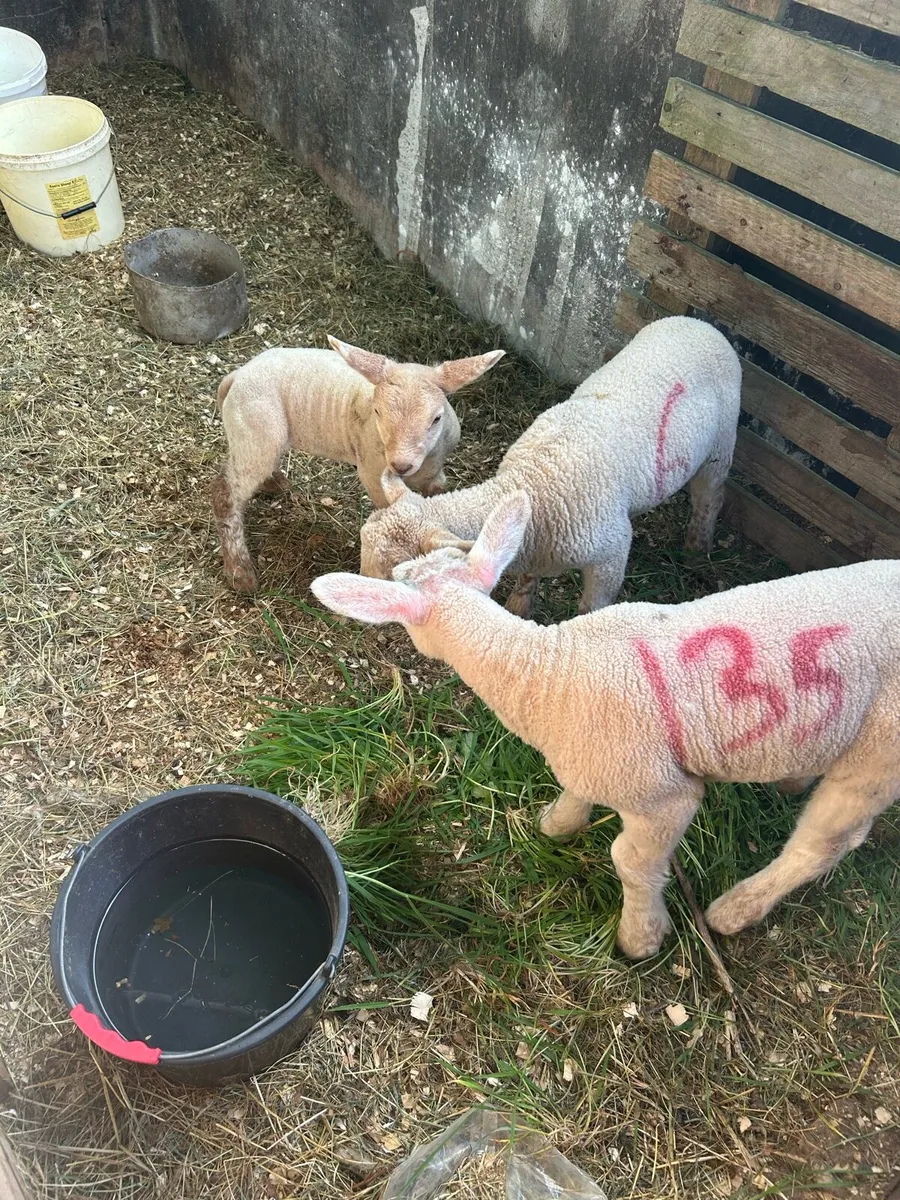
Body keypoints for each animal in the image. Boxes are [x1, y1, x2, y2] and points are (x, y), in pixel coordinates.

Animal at [211, 337, 504, 592]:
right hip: (256, 429)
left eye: (436, 418)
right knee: (225, 494)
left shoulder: (436, 475)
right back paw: (240, 572)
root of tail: (237, 376)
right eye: (377, 412)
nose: (401, 465)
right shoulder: (374, 473)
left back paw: (275, 482)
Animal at [312, 489, 900, 959]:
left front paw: (641, 937)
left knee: (823, 844)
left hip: (881, 749)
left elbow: (631, 861)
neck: (547, 672)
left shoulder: (662, 796)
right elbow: (575, 796)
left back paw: (734, 911)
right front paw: (557, 824)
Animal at [359, 315, 741, 617]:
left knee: (710, 498)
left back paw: (696, 550)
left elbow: (592, 606)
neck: (537, 481)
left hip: (720, 446)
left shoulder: (611, 555)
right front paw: (518, 607)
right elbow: (527, 578)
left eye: (396, 570)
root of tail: (699, 323)